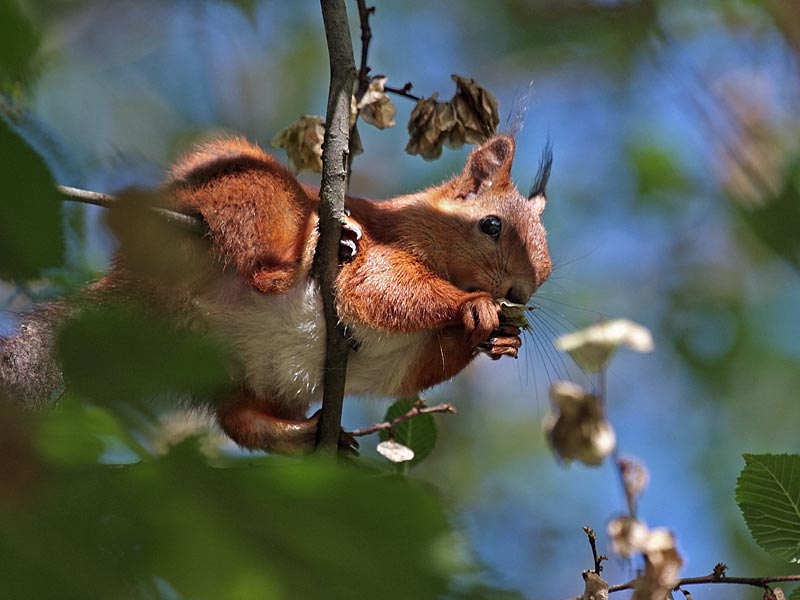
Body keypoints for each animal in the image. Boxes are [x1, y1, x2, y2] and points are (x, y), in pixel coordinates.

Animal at [0, 134, 552, 454]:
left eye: (545, 271)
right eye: (491, 225)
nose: (520, 294)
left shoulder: (410, 354)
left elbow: (411, 367)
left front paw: (499, 339)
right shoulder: (383, 250)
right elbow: (384, 288)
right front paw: (471, 305)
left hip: (231, 373)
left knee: (238, 422)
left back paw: (303, 436)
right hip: (248, 192)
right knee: (262, 266)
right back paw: (306, 253)